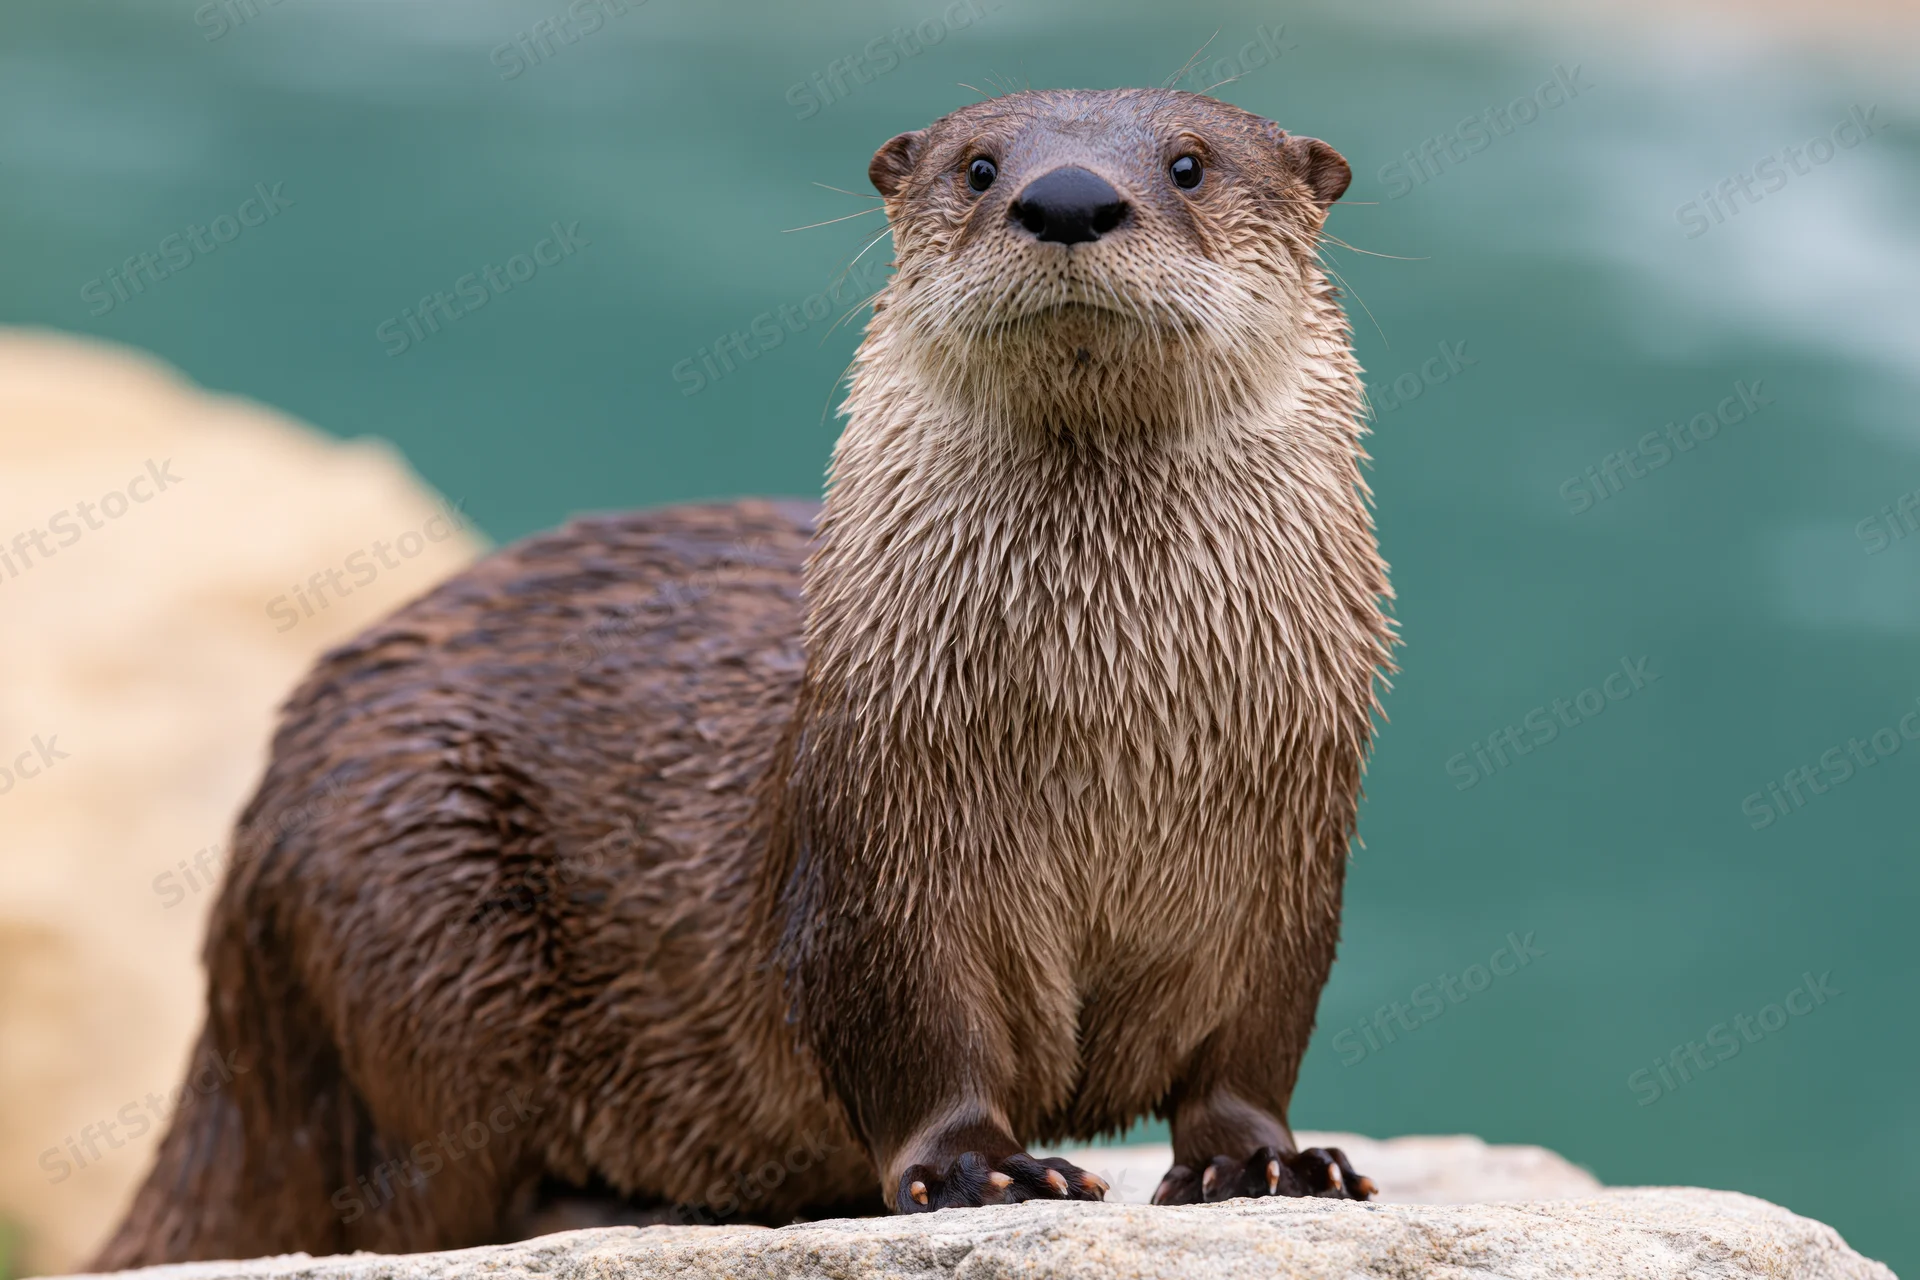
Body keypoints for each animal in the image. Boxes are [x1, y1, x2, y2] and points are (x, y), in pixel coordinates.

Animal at [96, 87, 1391, 1269]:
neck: (1106, 734)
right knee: (427, 1189)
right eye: (978, 166)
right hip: (413, 889)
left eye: (1190, 163)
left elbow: (1251, 1042)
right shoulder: (879, 848)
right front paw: (982, 1168)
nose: (1065, 196)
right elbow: (913, 1030)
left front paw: (1265, 1162)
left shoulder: (1290, 859)